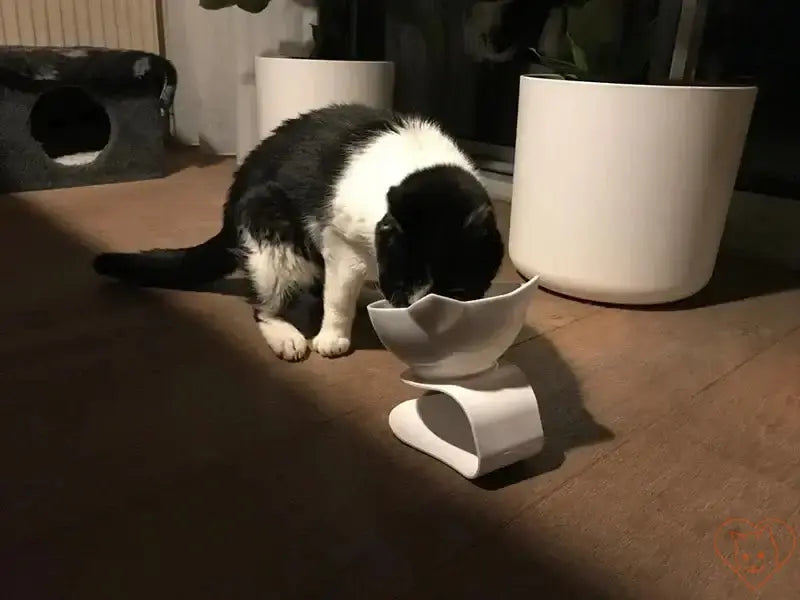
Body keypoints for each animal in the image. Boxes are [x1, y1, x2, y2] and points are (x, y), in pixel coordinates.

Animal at [94, 103, 504, 360]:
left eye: (456, 290)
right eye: (405, 277)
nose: (412, 305)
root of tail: (231, 202)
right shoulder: (340, 243)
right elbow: (337, 298)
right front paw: (333, 337)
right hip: (272, 232)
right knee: (264, 304)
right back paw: (286, 335)